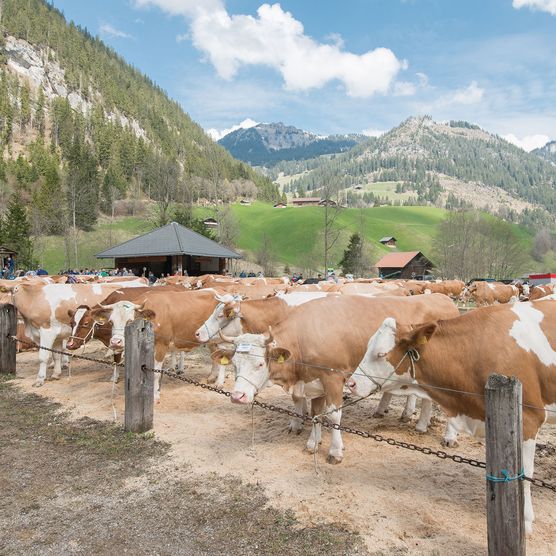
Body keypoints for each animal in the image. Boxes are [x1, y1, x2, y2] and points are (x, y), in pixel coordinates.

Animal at [211, 298, 458, 462]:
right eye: (235, 364)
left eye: (260, 364)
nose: (237, 396)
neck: (304, 337)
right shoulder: (315, 383)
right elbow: (316, 414)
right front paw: (313, 443)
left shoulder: (333, 378)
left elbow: (334, 415)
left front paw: (335, 451)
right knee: (426, 399)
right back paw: (420, 423)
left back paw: (447, 436)